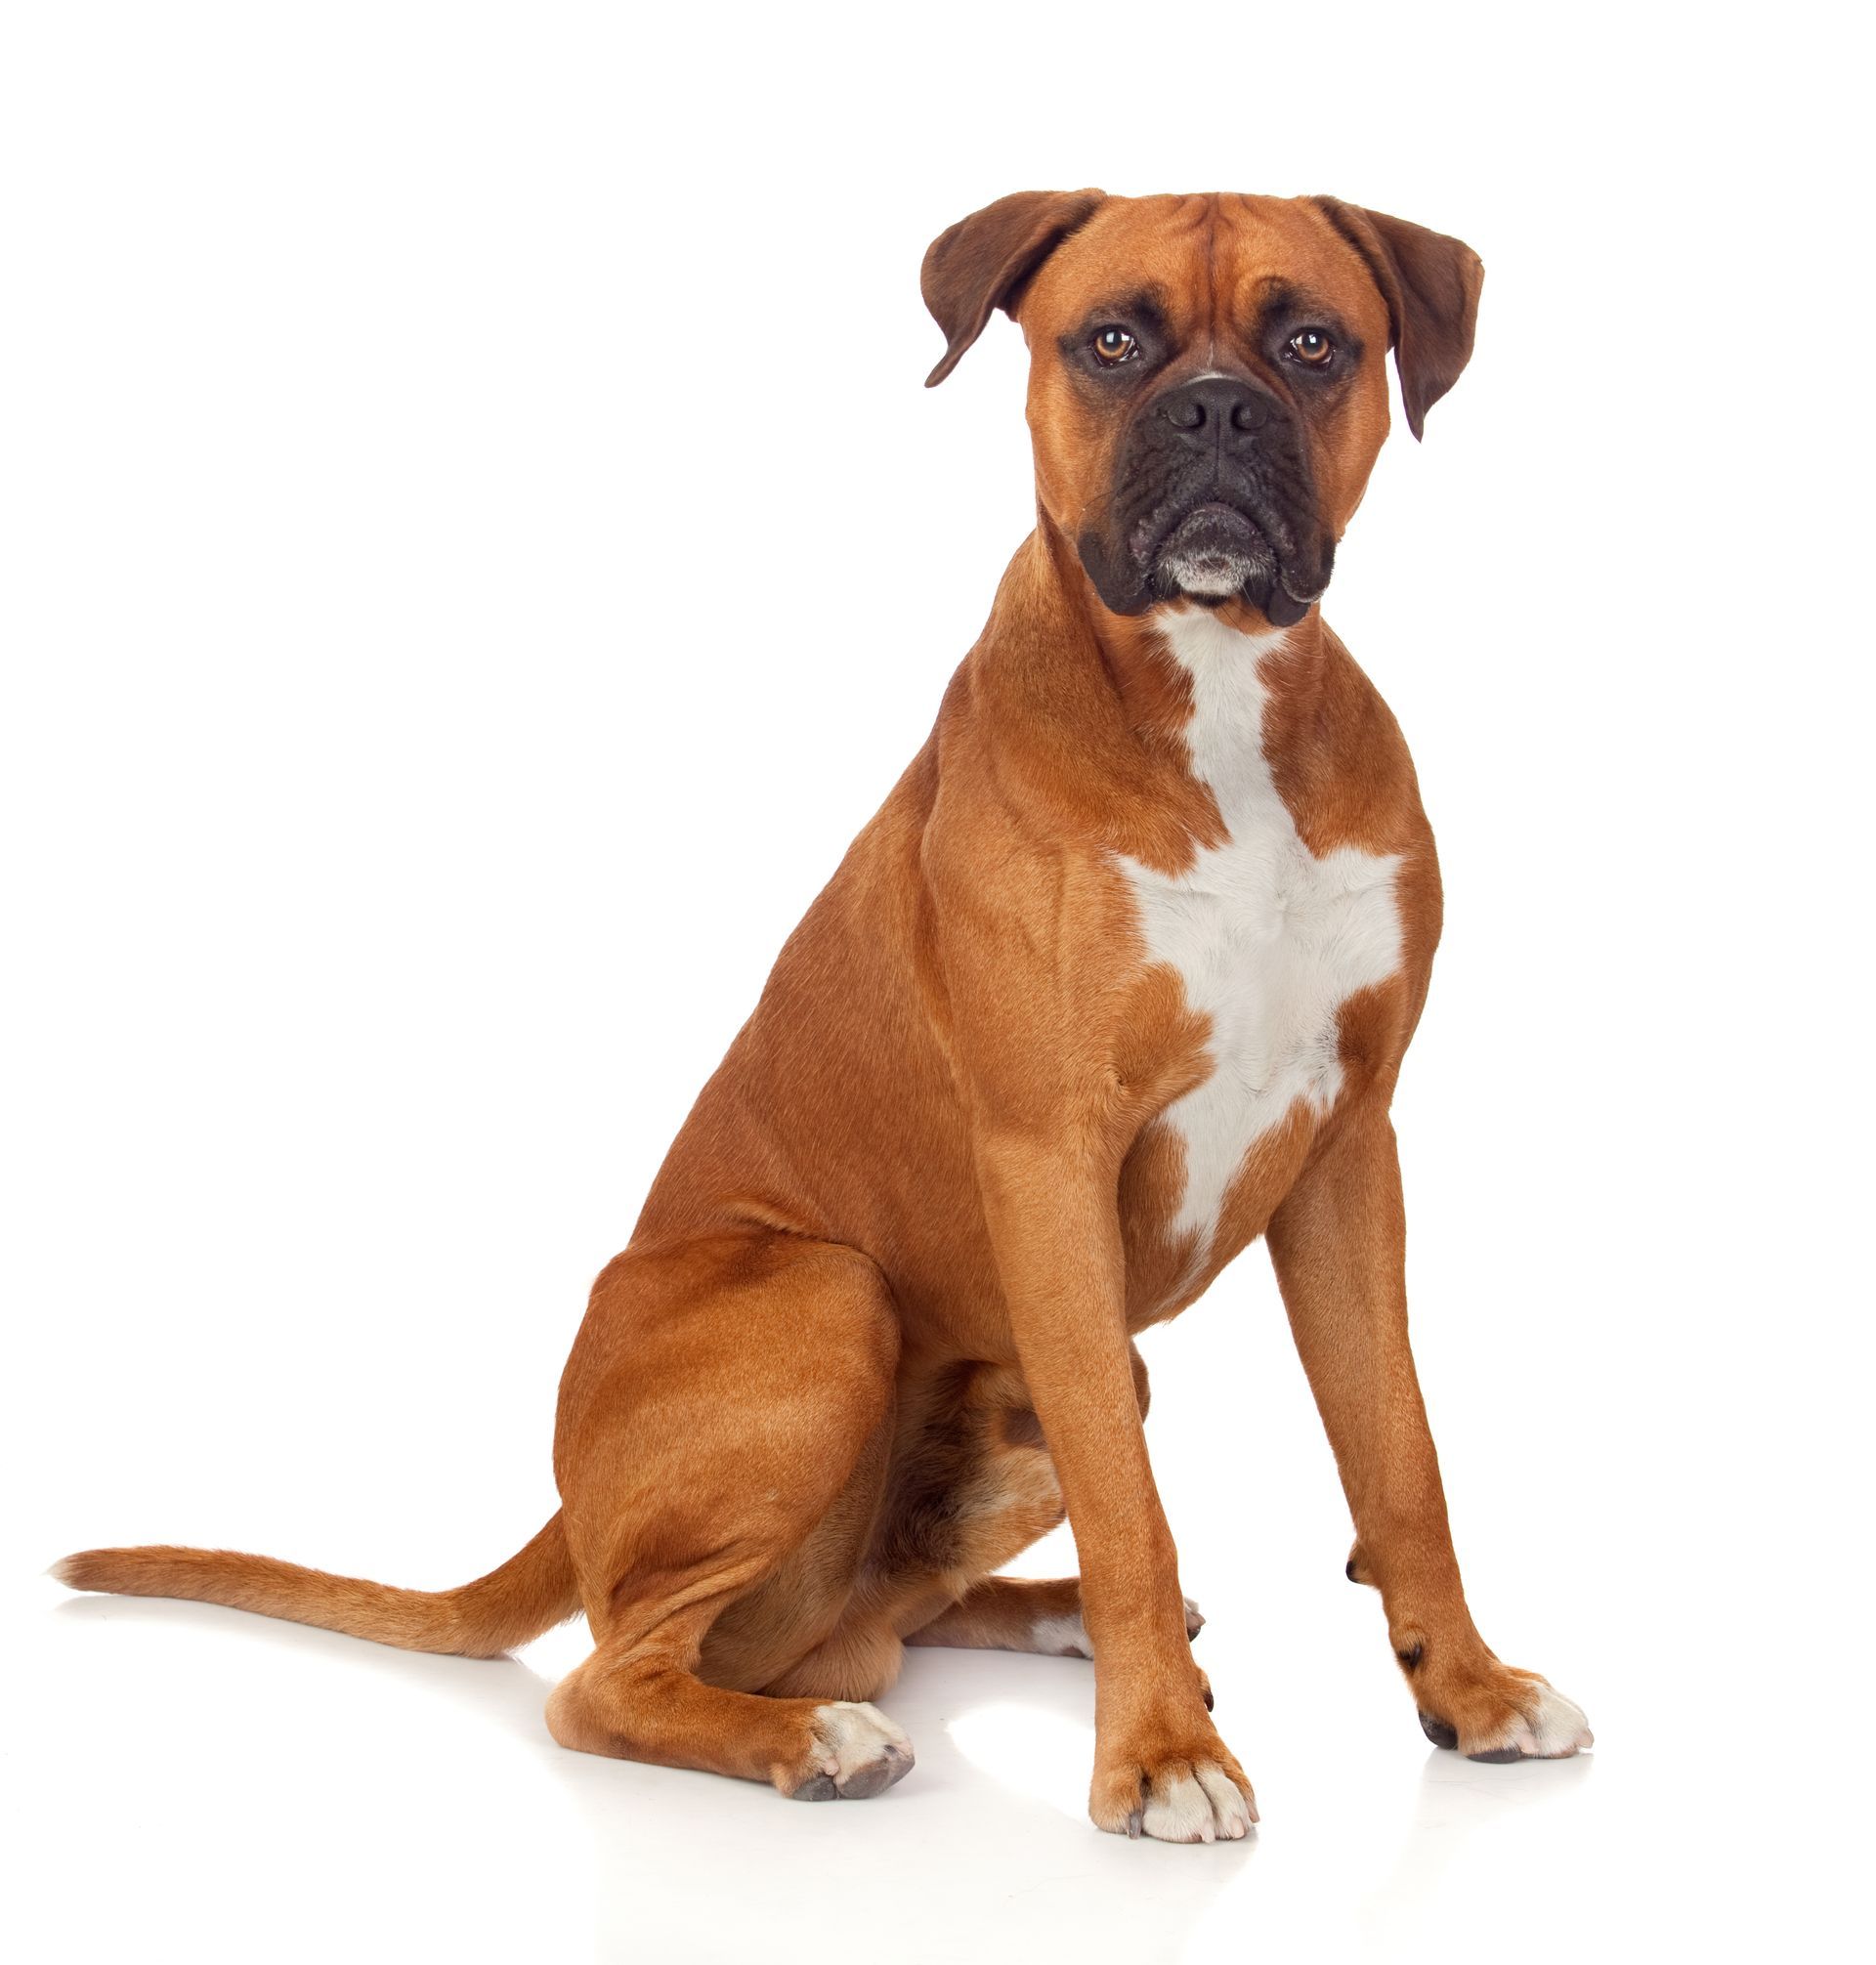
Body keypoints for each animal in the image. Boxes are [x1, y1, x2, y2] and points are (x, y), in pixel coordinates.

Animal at [59, 188, 1587, 1839]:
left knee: (876, 1604)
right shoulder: (1051, 1159)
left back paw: (1029, 1616)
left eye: (1314, 345)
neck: (1223, 693)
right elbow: (1134, 1504)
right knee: (615, 1673)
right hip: (831, 1295)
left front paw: (1467, 1687)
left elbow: (1400, 1457)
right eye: (1113, 342)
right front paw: (1162, 1752)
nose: (1219, 408)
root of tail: (568, 1507)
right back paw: (819, 1737)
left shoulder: (1349, 1148)